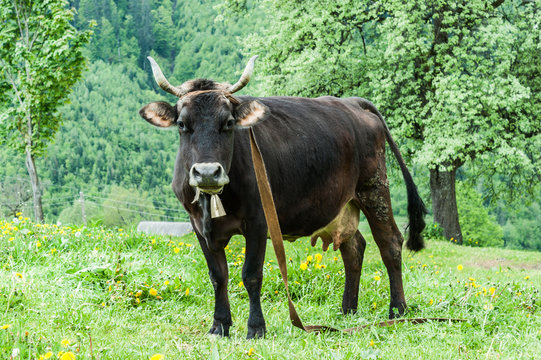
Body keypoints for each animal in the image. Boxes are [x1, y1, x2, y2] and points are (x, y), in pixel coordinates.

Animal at [139, 55, 426, 338]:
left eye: (229, 123)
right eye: (182, 124)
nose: (207, 172)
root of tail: (351, 102)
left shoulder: (258, 220)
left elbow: (251, 274)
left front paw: (256, 328)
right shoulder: (197, 224)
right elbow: (218, 275)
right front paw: (219, 325)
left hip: (374, 187)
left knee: (389, 242)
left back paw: (397, 310)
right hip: (342, 203)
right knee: (353, 247)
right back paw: (347, 311)